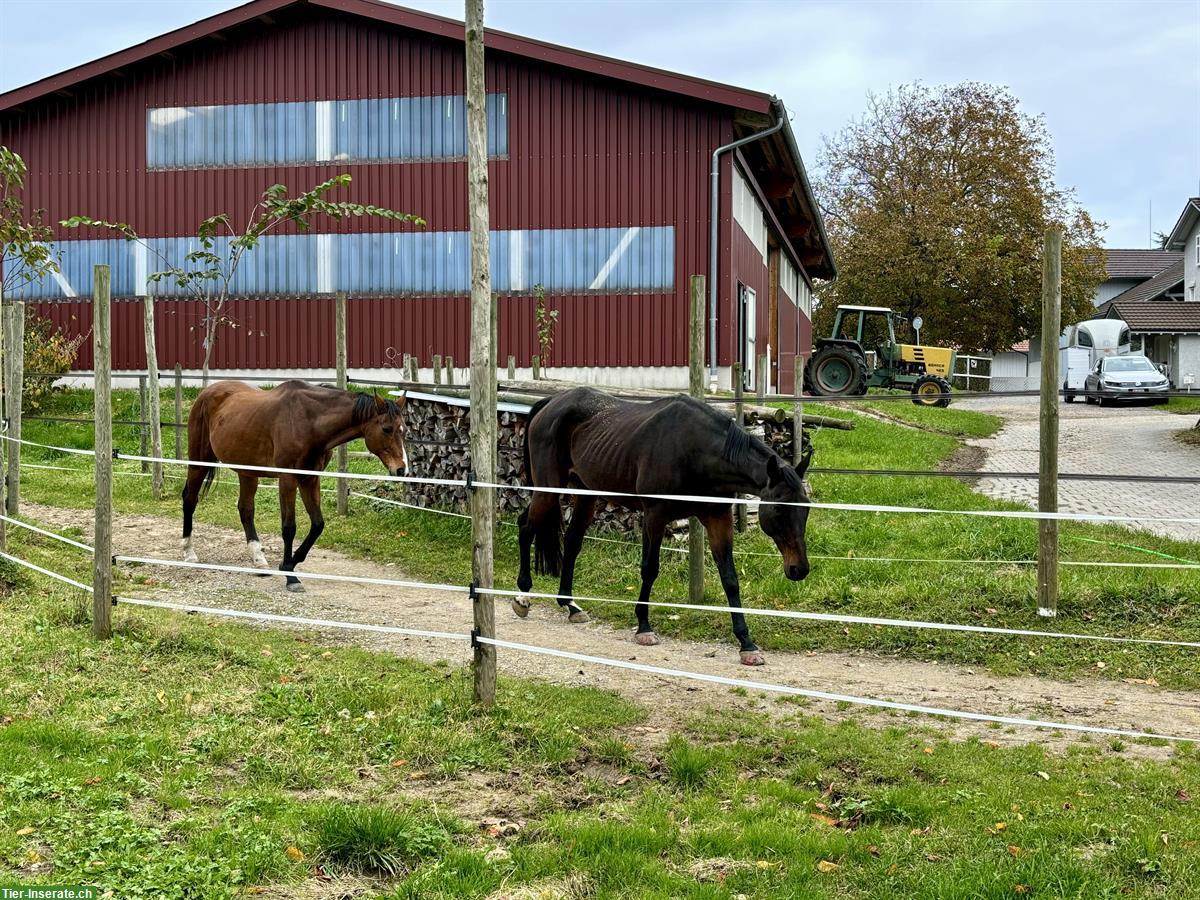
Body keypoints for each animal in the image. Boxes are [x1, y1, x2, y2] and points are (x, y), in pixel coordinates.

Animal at [181, 381, 408, 592]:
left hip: (247, 472)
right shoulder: (288, 479)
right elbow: (289, 527)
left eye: (404, 430)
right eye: (386, 429)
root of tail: (208, 391)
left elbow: (317, 524)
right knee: (190, 499)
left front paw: (289, 562)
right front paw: (291, 576)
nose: (401, 470)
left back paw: (259, 560)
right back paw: (188, 553)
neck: (309, 421)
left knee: (245, 510)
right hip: (199, 461)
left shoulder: (310, 479)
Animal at [516, 388, 816, 672]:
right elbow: (650, 569)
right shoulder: (655, 516)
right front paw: (644, 628)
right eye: (779, 510)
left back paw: (570, 605)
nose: (799, 569)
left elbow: (730, 579)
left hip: (586, 495)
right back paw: (522, 596)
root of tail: (551, 402)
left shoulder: (717, 518)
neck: (696, 451)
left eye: (806, 509)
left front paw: (747, 644)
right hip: (548, 491)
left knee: (572, 540)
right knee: (525, 528)